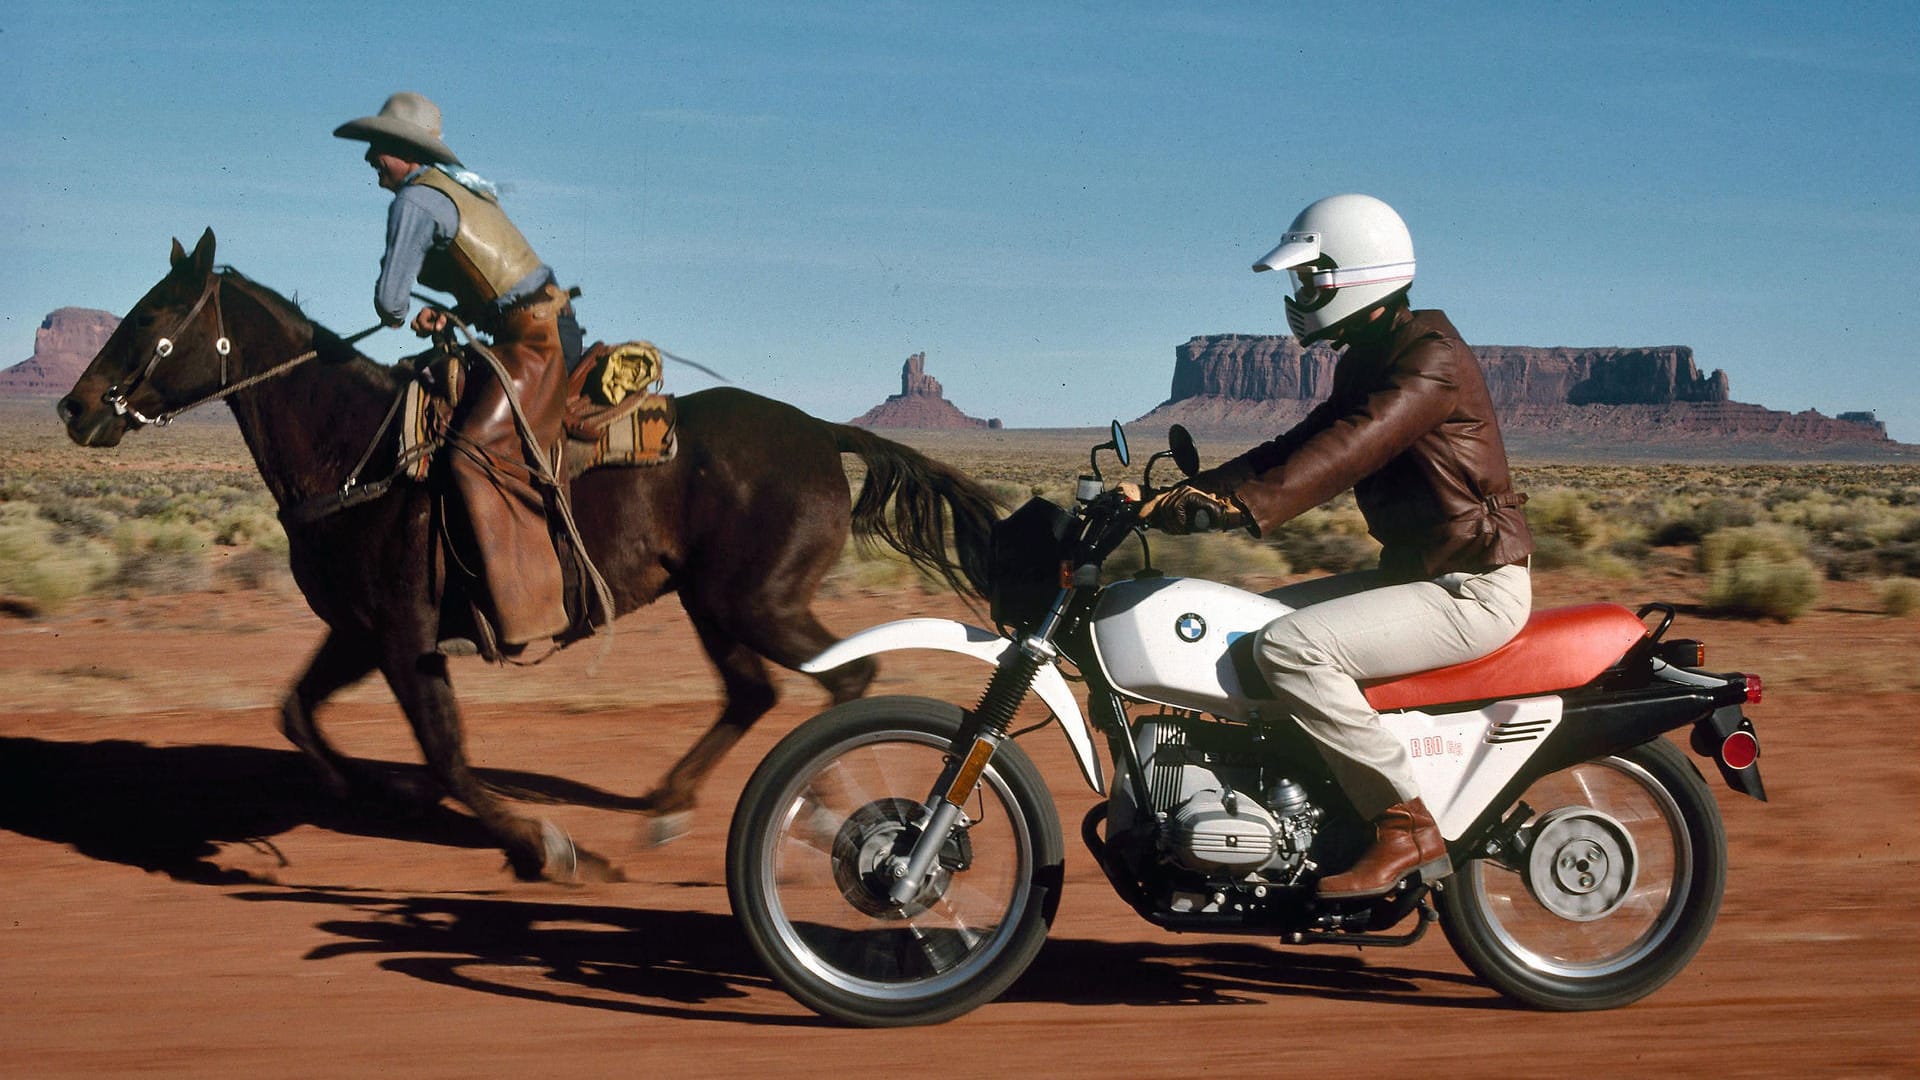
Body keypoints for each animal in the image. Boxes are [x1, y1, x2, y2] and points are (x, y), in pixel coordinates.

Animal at [56, 231, 1006, 880]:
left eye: (152, 315)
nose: (75, 407)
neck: (357, 450)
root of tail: (823, 431)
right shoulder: (359, 634)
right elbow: (296, 712)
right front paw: (371, 791)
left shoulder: (404, 638)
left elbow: (448, 754)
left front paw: (541, 842)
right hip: (712, 601)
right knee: (753, 691)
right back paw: (669, 808)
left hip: (757, 601)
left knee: (842, 680)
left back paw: (818, 816)